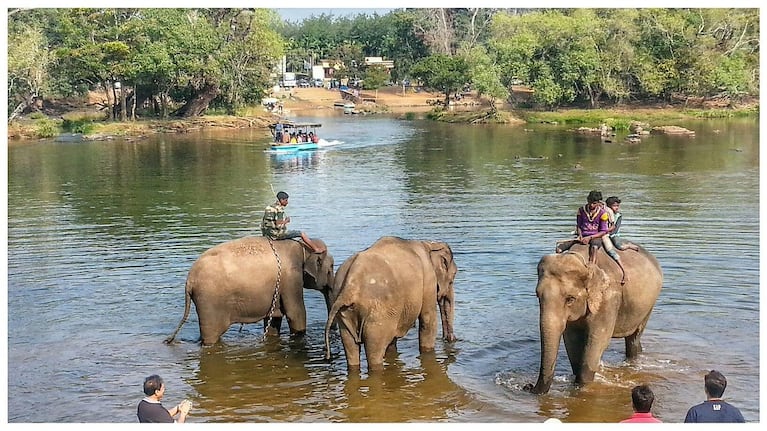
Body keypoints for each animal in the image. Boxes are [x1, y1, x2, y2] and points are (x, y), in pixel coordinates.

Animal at [165, 236, 334, 345]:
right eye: (331, 268)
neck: (303, 246)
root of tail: (189, 279)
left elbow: (274, 319)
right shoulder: (291, 279)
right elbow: (296, 313)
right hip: (209, 302)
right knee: (211, 336)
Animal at [323, 236, 457, 371]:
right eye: (453, 276)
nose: (450, 339)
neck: (429, 244)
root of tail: (351, 283)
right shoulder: (428, 278)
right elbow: (428, 319)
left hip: (344, 312)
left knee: (350, 348)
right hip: (378, 316)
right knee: (375, 353)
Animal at [526, 243, 663, 394]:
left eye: (570, 299)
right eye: (538, 295)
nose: (528, 386)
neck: (584, 262)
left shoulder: (608, 298)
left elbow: (598, 339)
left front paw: (582, 386)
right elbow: (571, 340)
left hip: (649, 306)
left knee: (634, 337)